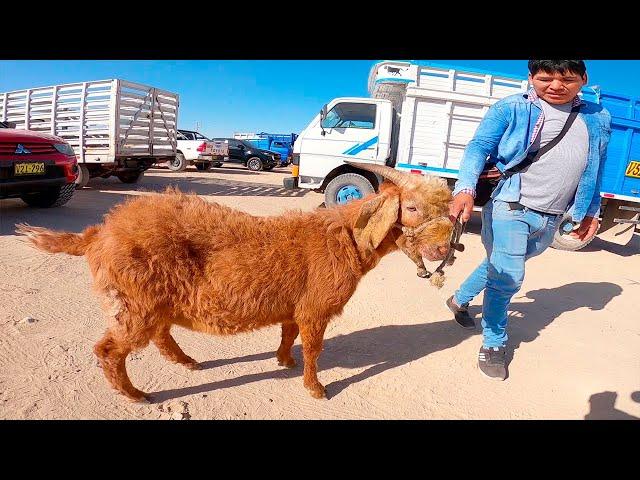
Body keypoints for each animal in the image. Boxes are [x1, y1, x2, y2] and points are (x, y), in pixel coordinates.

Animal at [16, 163, 456, 404]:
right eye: (411, 208)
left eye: (447, 208)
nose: (442, 249)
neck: (344, 236)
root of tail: (99, 233)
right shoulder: (315, 308)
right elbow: (314, 349)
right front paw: (315, 389)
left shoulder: (293, 304)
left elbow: (288, 332)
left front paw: (283, 361)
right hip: (136, 301)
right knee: (110, 349)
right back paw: (137, 396)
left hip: (151, 300)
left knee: (159, 333)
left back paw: (187, 362)